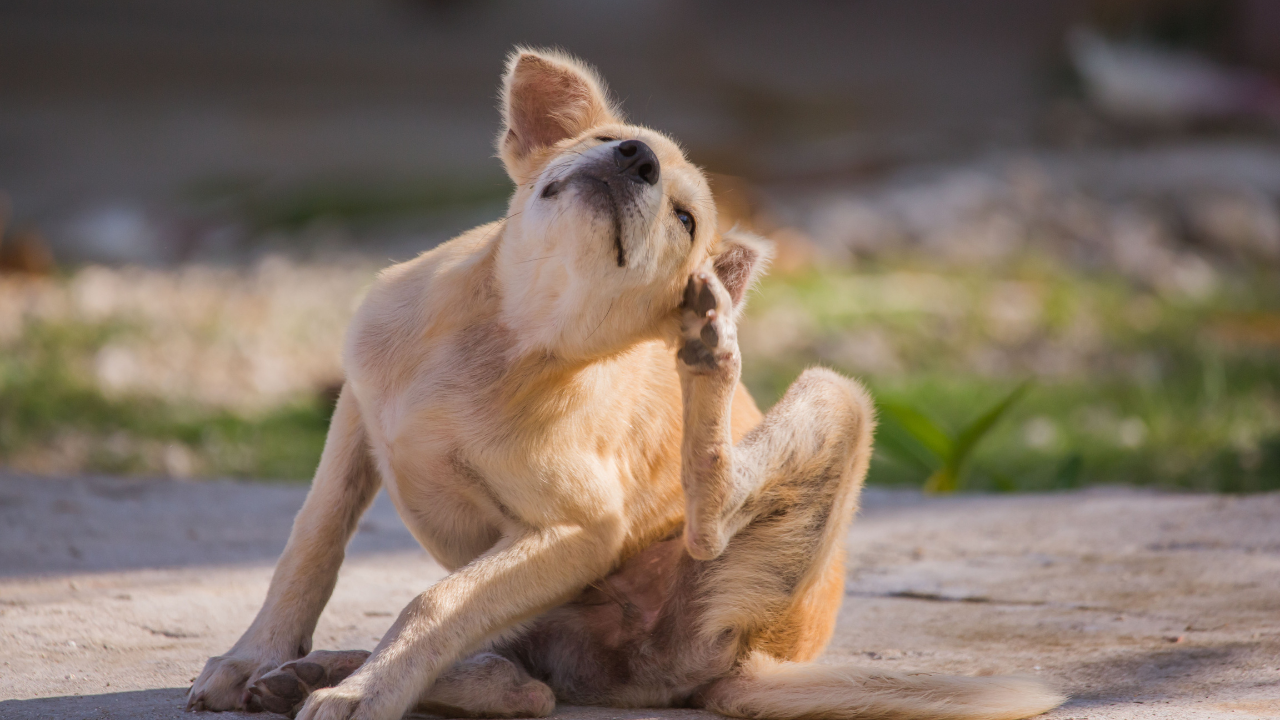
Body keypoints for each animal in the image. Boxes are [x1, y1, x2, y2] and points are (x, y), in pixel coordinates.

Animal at [185, 47, 1064, 712]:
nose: (633, 158)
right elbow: (311, 542)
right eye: (613, 137)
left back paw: (711, 353)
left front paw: (364, 693)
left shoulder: (578, 530)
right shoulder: (357, 417)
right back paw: (328, 670)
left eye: (685, 218)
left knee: (684, 540)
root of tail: (753, 664)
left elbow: (435, 603)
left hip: (824, 416)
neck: (504, 336)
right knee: (521, 680)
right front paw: (254, 656)